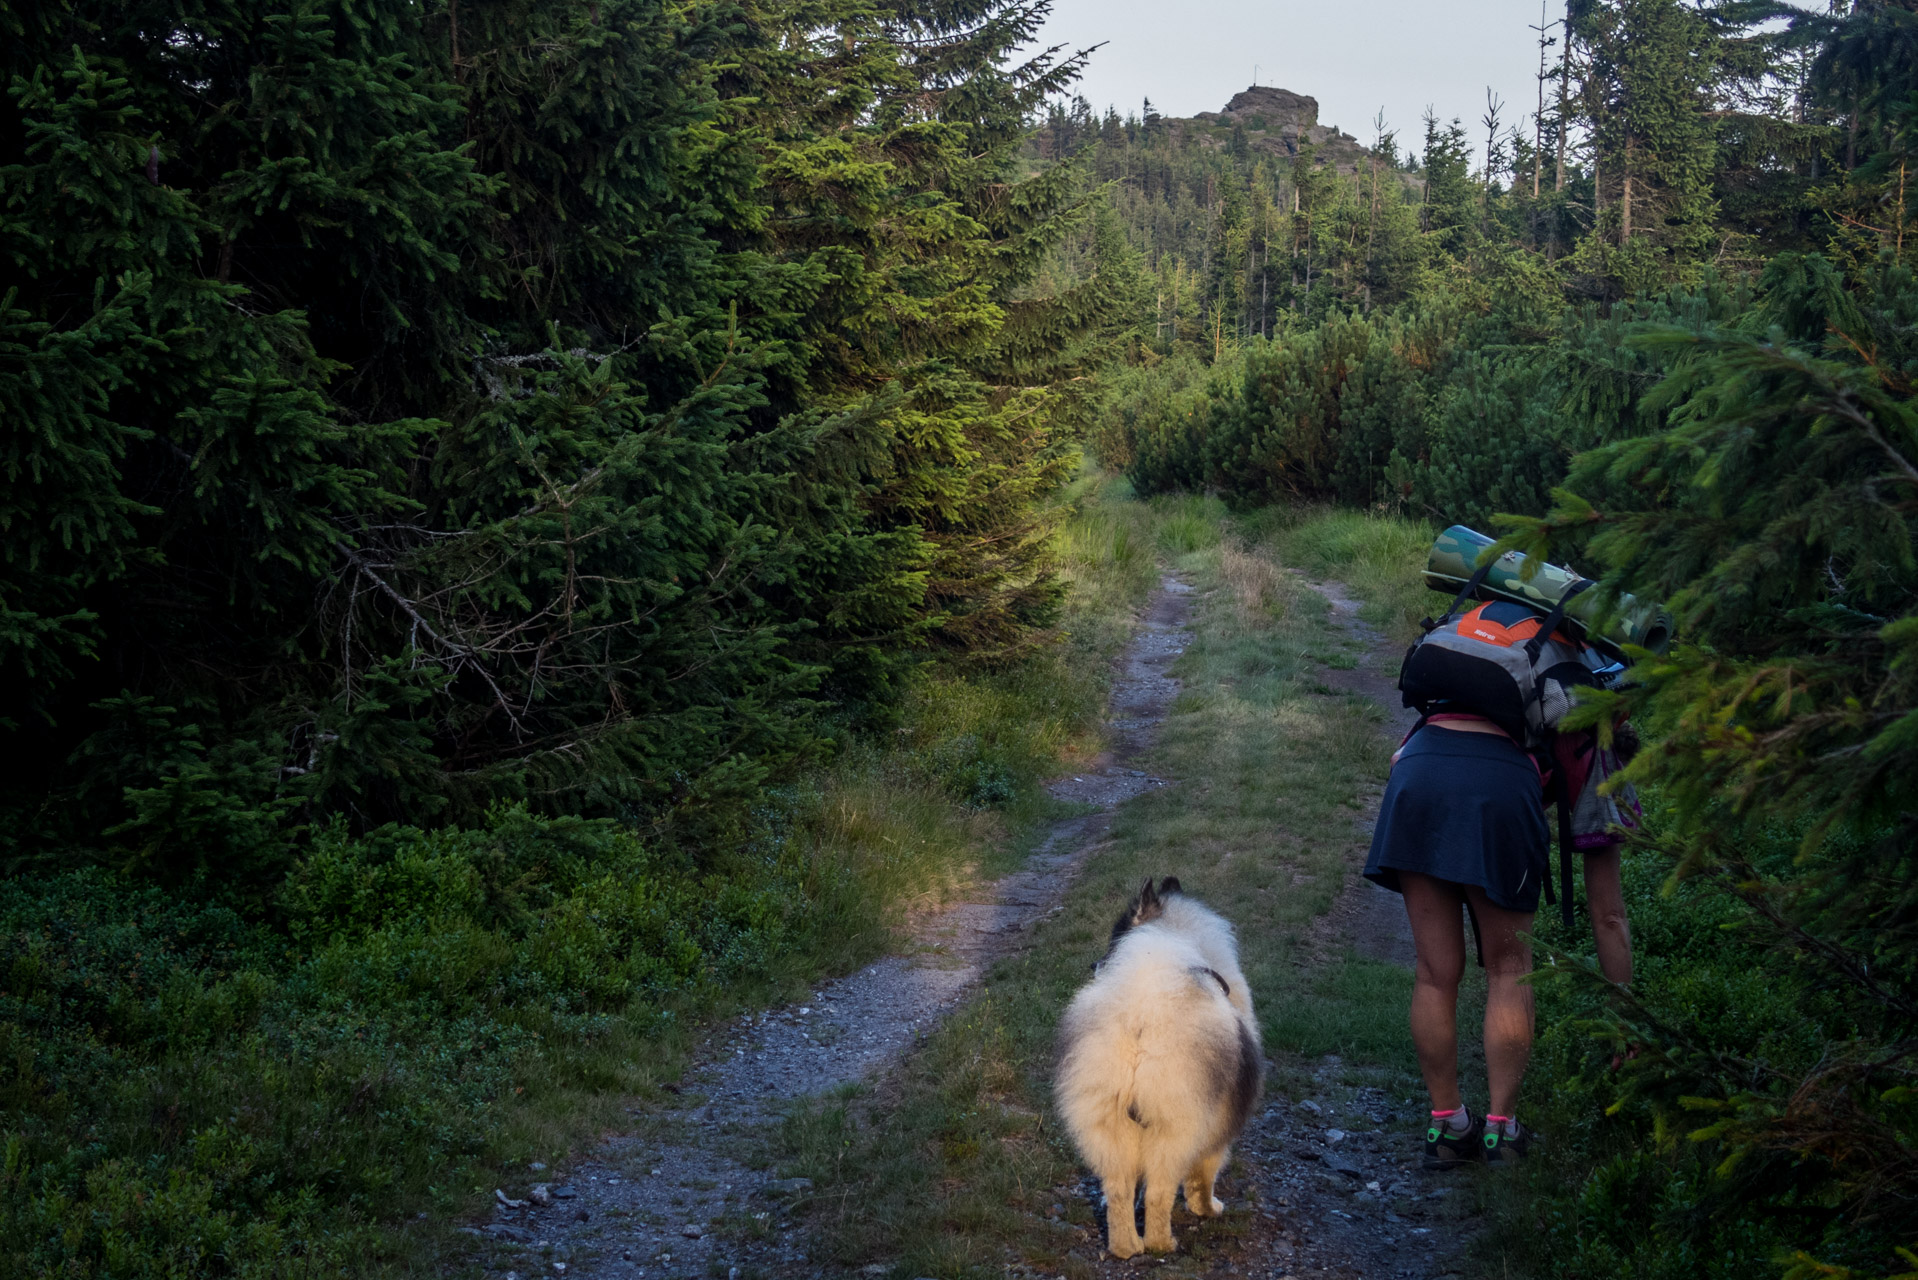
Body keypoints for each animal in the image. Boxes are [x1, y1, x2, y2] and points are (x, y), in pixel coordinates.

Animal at [1051, 875, 1258, 1258]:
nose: (1094, 966)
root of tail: (1141, 1025)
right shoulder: (1218, 1126)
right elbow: (1204, 1175)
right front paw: (1209, 1209)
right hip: (1175, 1127)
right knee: (1160, 1194)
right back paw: (1162, 1244)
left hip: (1107, 1123)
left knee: (1119, 1191)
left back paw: (1126, 1247)